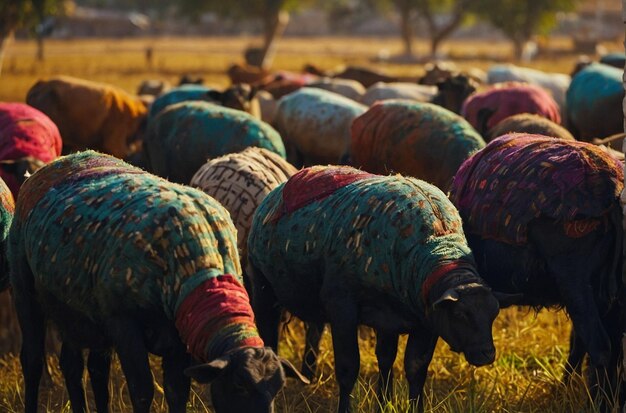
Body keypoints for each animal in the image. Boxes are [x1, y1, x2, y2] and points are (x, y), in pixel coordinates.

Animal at [6, 151, 304, 412]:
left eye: (278, 388)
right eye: (239, 385)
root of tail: (61, 160)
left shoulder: (179, 333)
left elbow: (176, 392)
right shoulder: (123, 323)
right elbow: (142, 391)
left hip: (79, 313)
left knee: (81, 368)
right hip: (25, 289)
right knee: (32, 360)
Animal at [246, 165, 500, 412]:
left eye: (493, 314)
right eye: (460, 314)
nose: (487, 354)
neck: (438, 247)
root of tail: (275, 193)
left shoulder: (419, 319)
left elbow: (413, 368)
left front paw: (389, 403)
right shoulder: (342, 307)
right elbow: (348, 369)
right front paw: (347, 409)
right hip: (263, 288)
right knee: (269, 333)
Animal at [450, 134, 620, 408]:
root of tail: (610, 195)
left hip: (574, 280)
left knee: (599, 347)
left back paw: (596, 402)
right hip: (602, 292)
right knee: (602, 346)